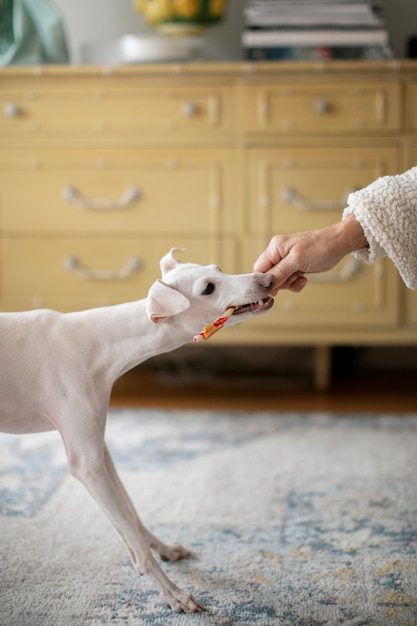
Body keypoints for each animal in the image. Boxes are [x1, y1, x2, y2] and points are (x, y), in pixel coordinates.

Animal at [0, 247, 276, 608]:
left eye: (218, 268)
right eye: (207, 288)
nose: (267, 278)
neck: (97, 342)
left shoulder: (99, 449)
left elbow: (130, 513)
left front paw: (164, 549)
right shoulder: (86, 465)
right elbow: (131, 536)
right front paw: (173, 593)